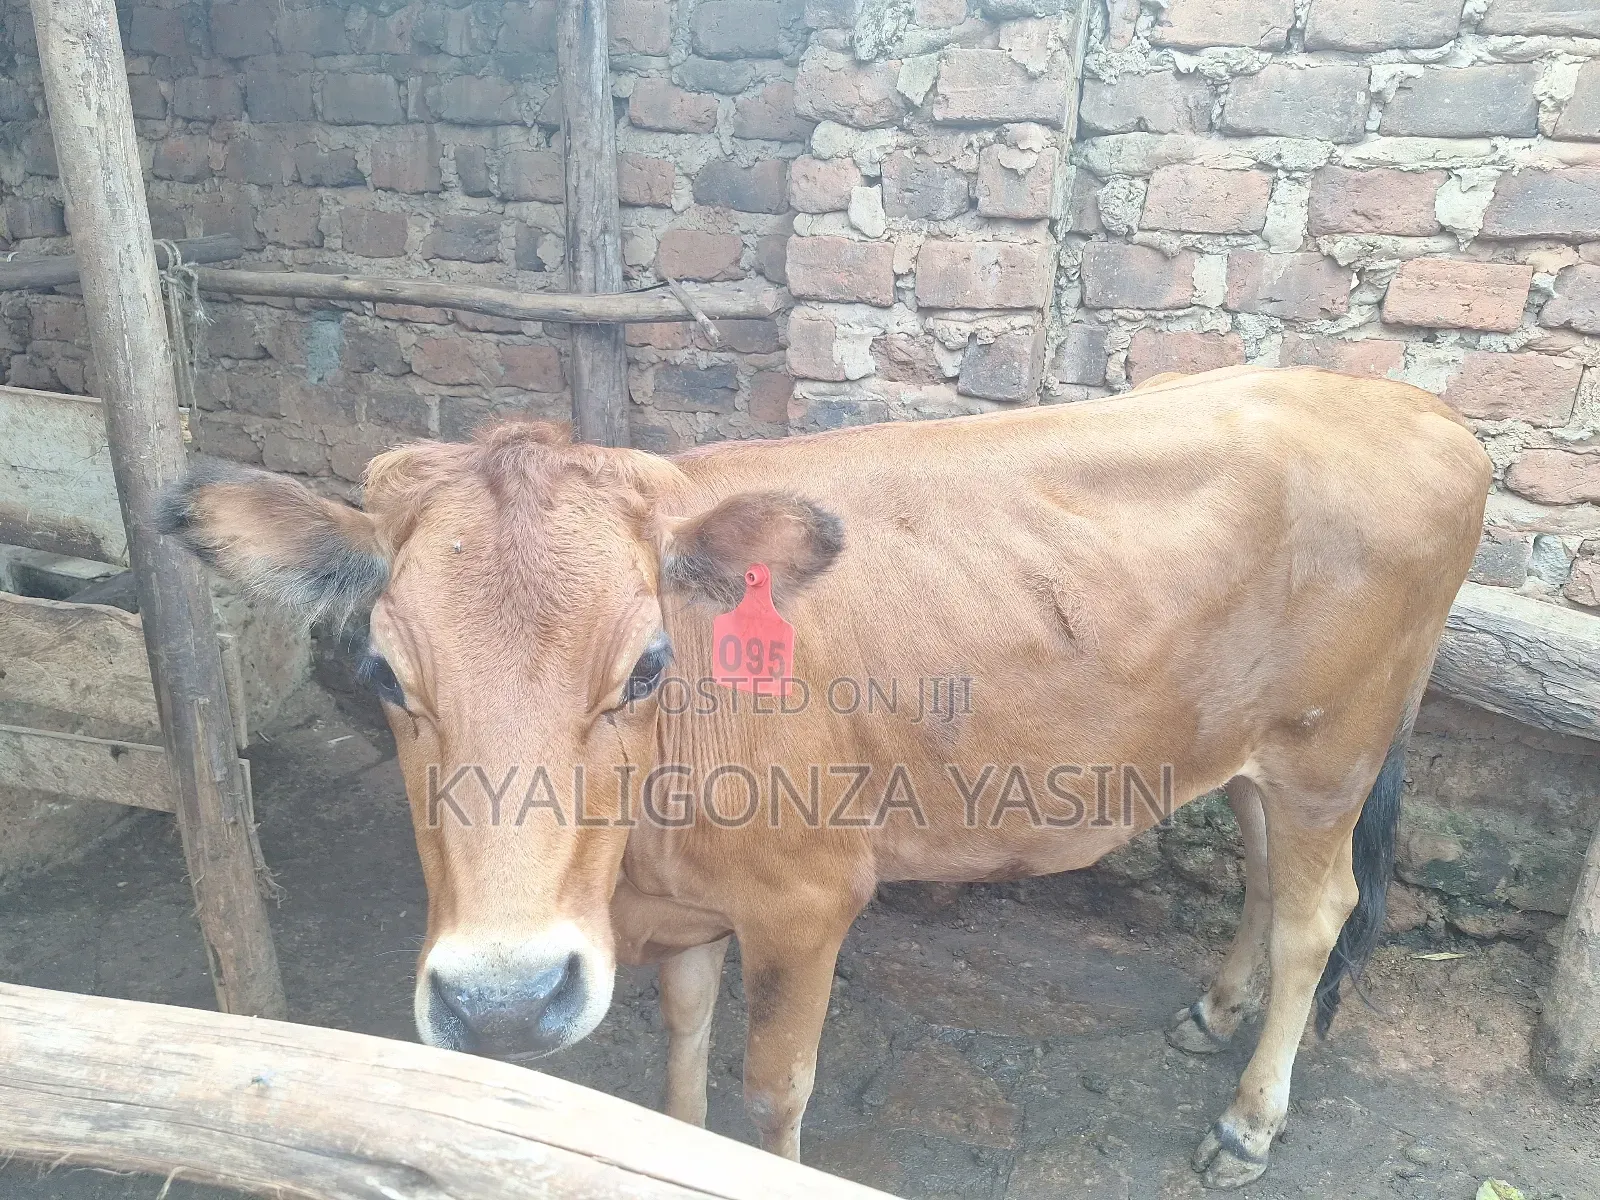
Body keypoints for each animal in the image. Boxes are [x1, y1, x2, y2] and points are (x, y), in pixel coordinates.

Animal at [161, 365, 1490, 1188]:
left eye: (647, 664)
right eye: (382, 672)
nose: (501, 1002)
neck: (642, 859)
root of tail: (1414, 407)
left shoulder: (805, 905)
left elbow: (769, 1087)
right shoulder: (687, 913)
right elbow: (680, 1051)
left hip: (1332, 744)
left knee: (1320, 913)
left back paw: (1248, 1122)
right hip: (1258, 749)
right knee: (1264, 874)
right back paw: (1212, 1010)